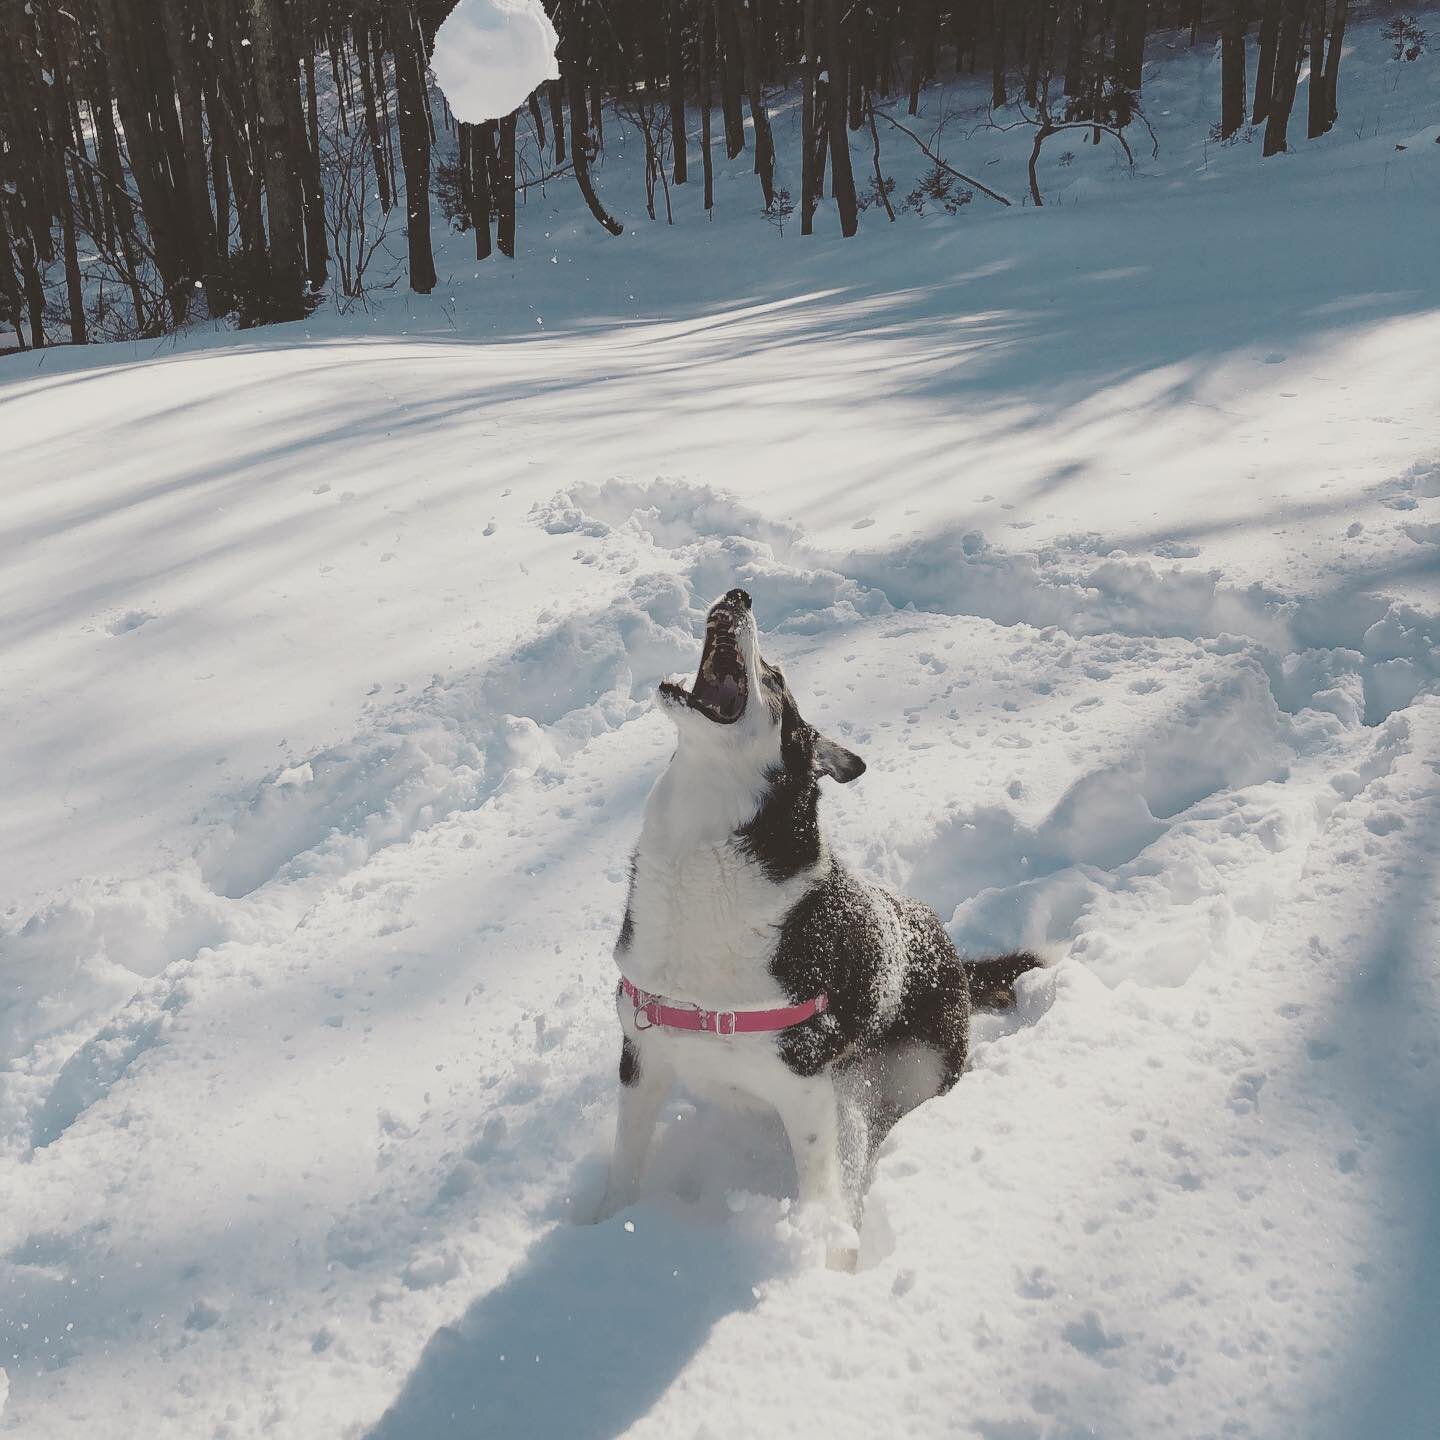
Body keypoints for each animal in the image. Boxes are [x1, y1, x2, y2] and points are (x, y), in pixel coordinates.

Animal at [590, 590, 1042, 1267]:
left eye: (775, 678)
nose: (739, 594)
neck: (705, 854)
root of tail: (955, 962)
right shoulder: (643, 1056)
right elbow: (625, 1167)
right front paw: (596, 1237)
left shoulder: (805, 1082)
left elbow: (821, 1191)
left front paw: (821, 1259)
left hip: (914, 1073)